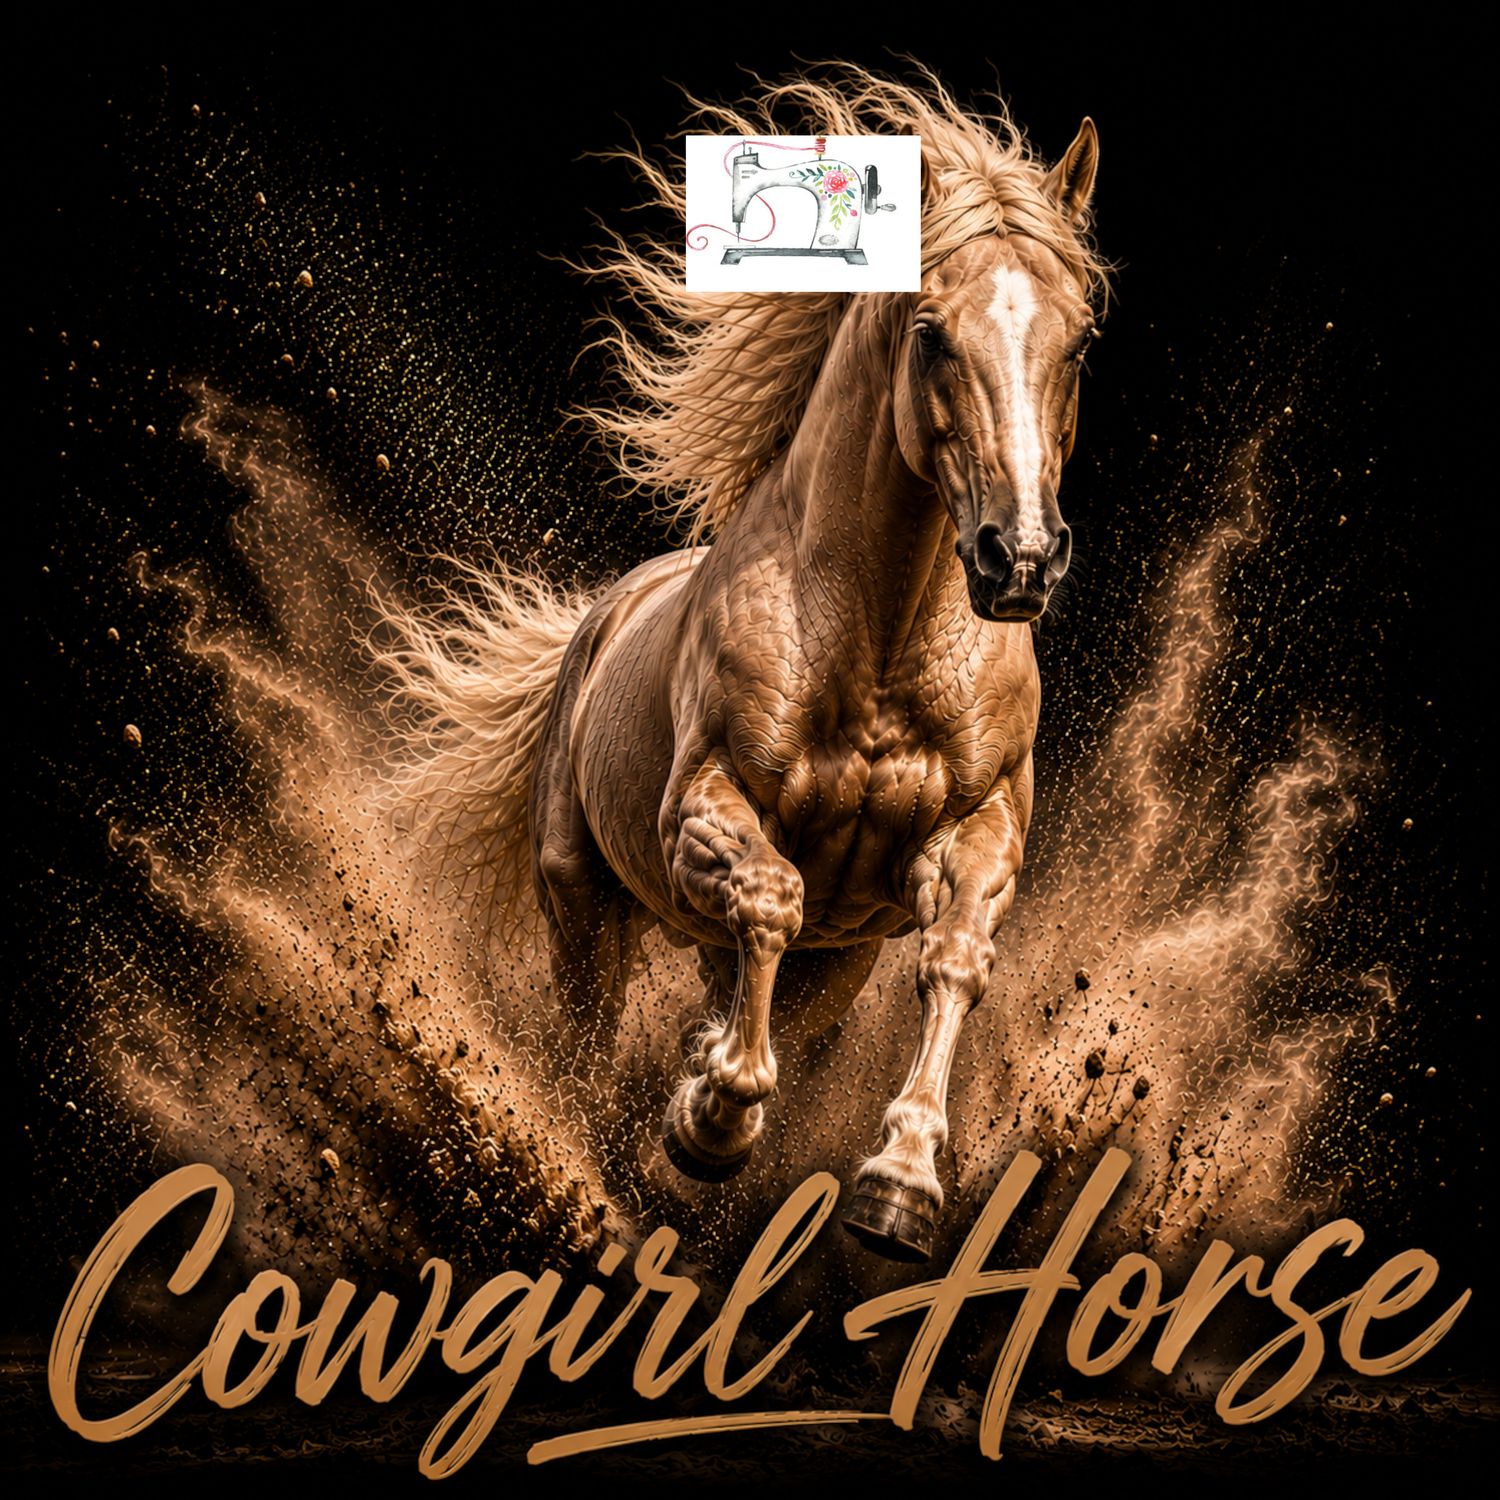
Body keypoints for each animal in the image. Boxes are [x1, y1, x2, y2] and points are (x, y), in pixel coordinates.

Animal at [385, 71, 1108, 1262]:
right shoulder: (704, 813)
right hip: (580, 901)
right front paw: (711, 1122)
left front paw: (901, 1184)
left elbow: (954, 957)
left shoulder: (979, 831)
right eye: (929, 331)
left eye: (1081, 339)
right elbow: (770, 896)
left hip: (835, 961)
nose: (1022, 558)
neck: (877, 646)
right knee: (592, 1036)